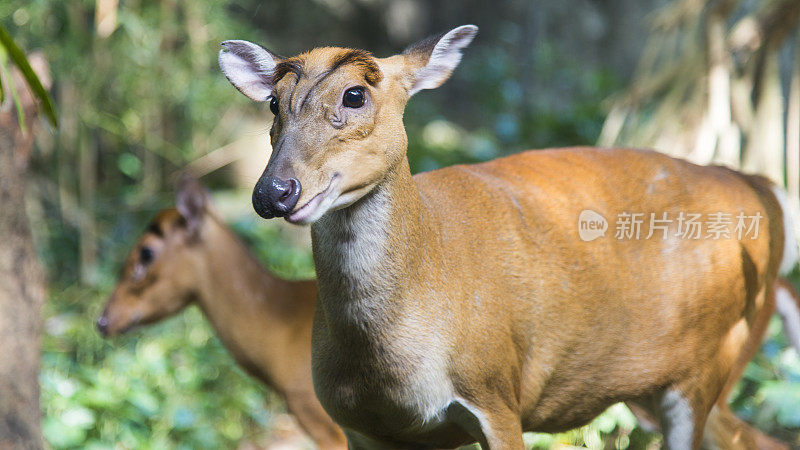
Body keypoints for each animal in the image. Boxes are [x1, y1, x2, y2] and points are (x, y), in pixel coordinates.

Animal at [219, 25, 800, 450]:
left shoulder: (496, 391)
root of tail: (764, 191)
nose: (274, 192)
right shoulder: (358, 425)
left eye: (355, 94)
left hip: (714, 357)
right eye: (273, 103)